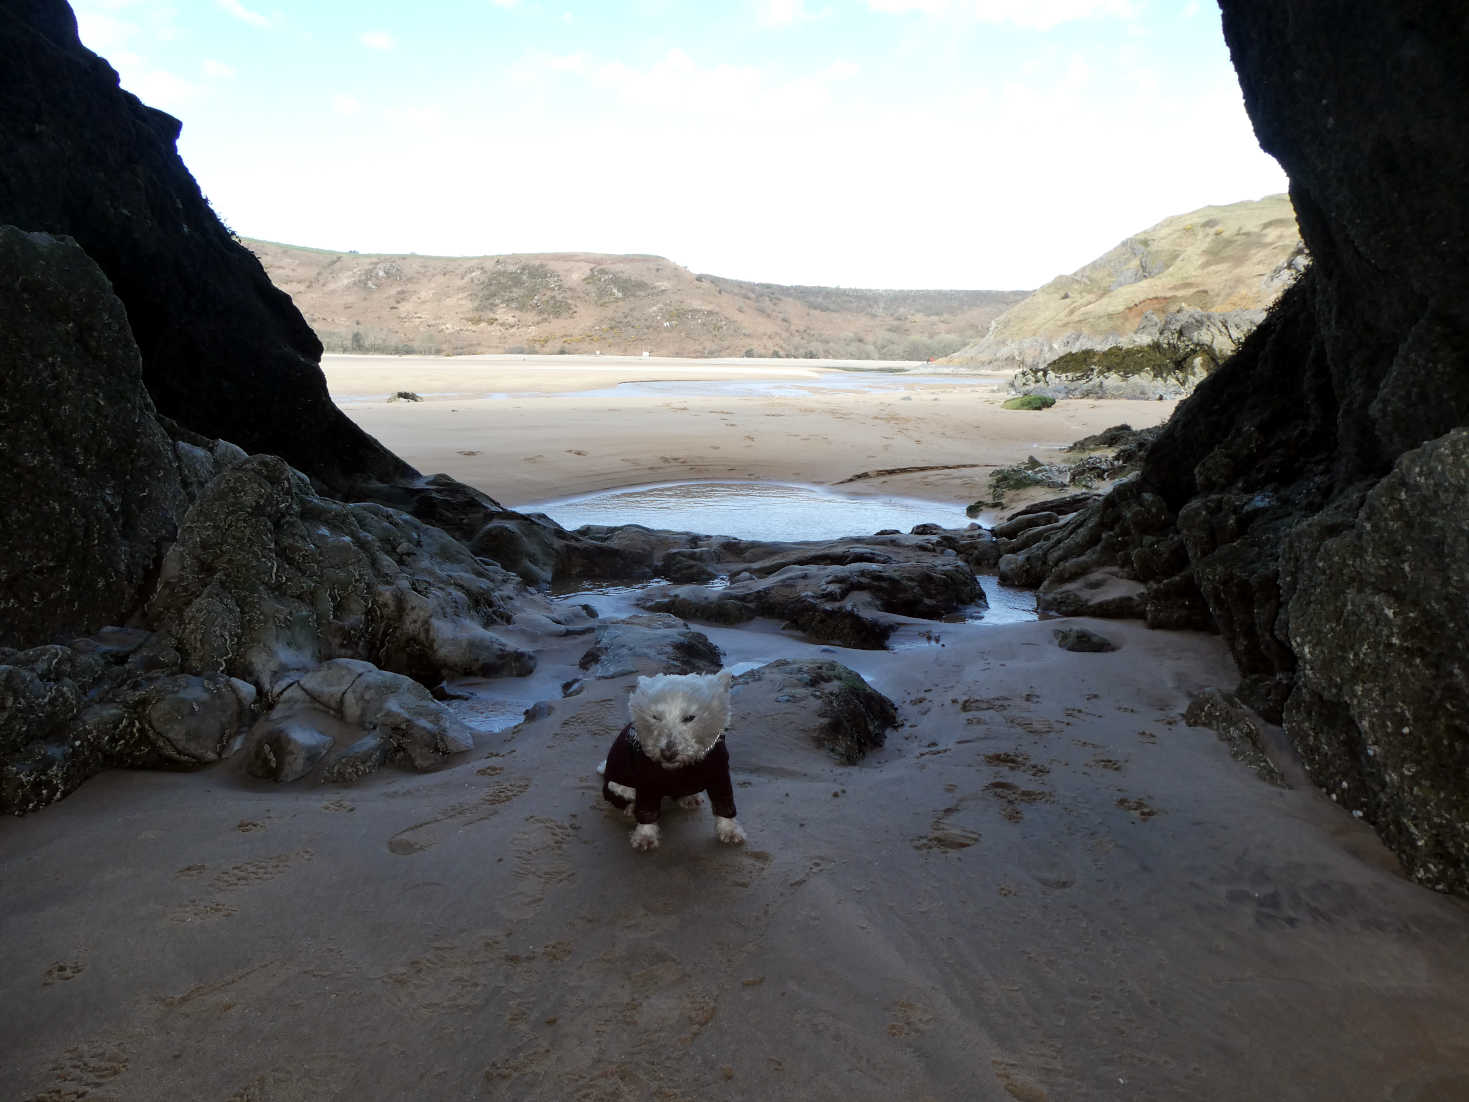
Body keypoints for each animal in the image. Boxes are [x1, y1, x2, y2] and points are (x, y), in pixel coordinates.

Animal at [593, 664, 746, 852]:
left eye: (690, 717)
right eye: (655, 717)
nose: (668, 754)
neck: (680, 769)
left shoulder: (719, 773)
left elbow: (724, 801)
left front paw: (730, 831)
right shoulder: (647, 780)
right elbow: (647, 808)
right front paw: (645, 837)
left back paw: (689, 798)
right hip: (618, 784)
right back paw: (631, 808)